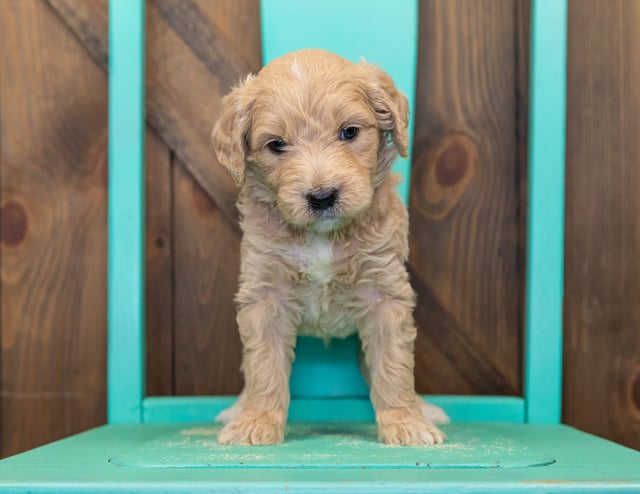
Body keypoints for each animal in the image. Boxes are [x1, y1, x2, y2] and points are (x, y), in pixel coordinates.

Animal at [212, 48, 448, 446]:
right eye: (276, 144)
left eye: (349, 132)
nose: (322, 197)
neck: (322, 237)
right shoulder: (266, 295)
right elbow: (263, 366)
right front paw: (256, 421)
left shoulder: (384, 294)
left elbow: (394, 365)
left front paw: (405, 422)